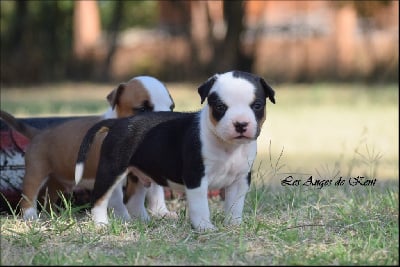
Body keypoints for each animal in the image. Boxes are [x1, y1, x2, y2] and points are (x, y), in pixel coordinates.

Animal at [0, 76, 175, 222]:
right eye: (143, 109)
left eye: (171, 107)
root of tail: (38, 133)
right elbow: (118, 200)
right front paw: (124, 218)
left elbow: (148, 193)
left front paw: (152, 214)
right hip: (36, 172)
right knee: (29, 194)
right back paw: (31, 216)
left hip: (58, 179)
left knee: (50, 196)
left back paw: (53, 215)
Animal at [75, 70, 276, 231]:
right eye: (220, 107)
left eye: (257, 105)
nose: (241, 124)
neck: (227, 146)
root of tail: (117, 123)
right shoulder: (196, 178)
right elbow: (200, 206)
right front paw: (205, 227)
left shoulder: (240, 180)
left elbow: (235, 205)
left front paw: (234, 225)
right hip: (111, 171)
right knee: (99, 200)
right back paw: (101, 225)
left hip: (138, 175)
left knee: (133, 200)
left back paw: (143, 222)